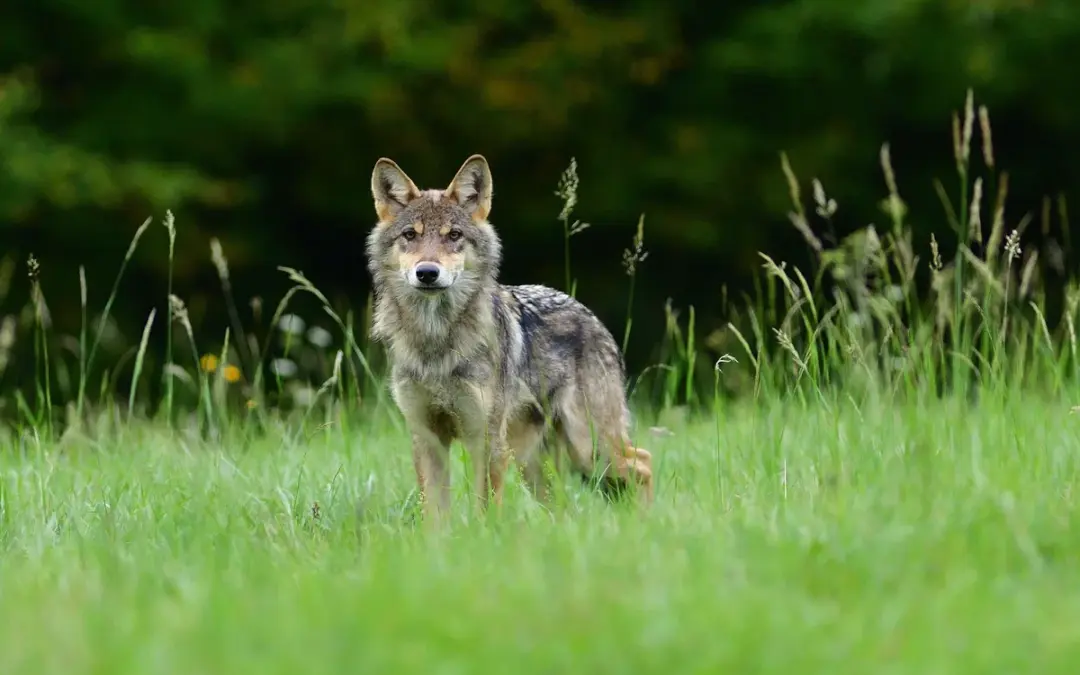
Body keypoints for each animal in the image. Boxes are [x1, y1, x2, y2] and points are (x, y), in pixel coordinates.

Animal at [365, 154, 654, 521]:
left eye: (454, 235)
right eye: (410, 235)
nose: (427, 272)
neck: (436, 341)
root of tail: (592, 317)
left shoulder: (485, 438)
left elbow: (485, 507)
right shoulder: (427, 437)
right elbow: (435, 516)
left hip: (587, 446)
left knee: (644, 462)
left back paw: (646, 522)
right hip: (536, 461)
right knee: (563, 504)